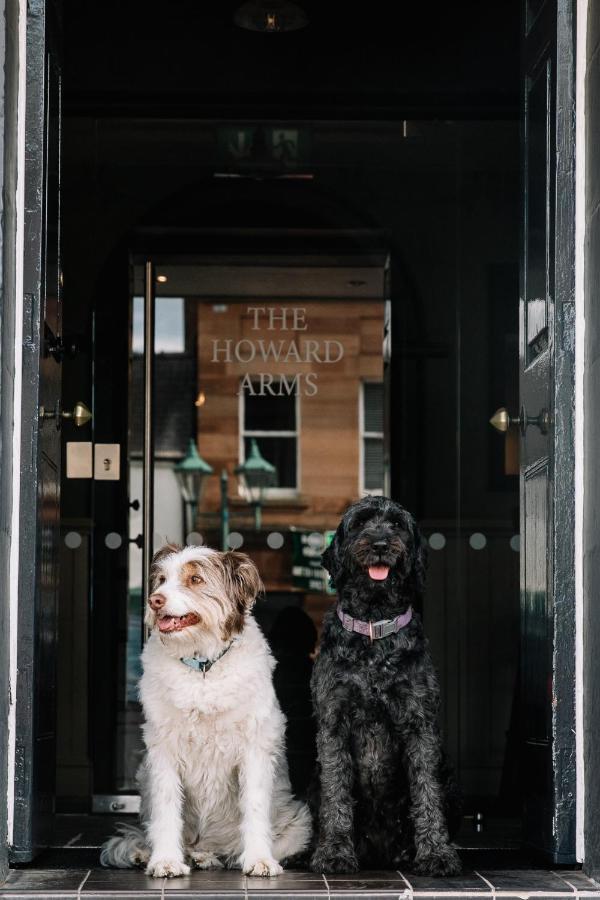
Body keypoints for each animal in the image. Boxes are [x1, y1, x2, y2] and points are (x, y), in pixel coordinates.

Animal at [101, 540, 312, 880]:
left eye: (195, 580)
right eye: (162, 580)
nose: (154, 601)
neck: (202, 668)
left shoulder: (254, 749)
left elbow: (254, 807)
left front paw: (259, 859)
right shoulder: (163, 751)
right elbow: (166, 808)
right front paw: (165, 860)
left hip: (300, 821)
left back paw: (218, 857)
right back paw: (163, 854)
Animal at [312, 496, 462, 876]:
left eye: (396, 525)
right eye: (361, 523)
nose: (380, 543)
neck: (373, 628)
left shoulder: (419, 723)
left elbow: (426, 790)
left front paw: (436, 853)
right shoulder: (333, 723)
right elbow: (335, 790)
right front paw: (334, 852)